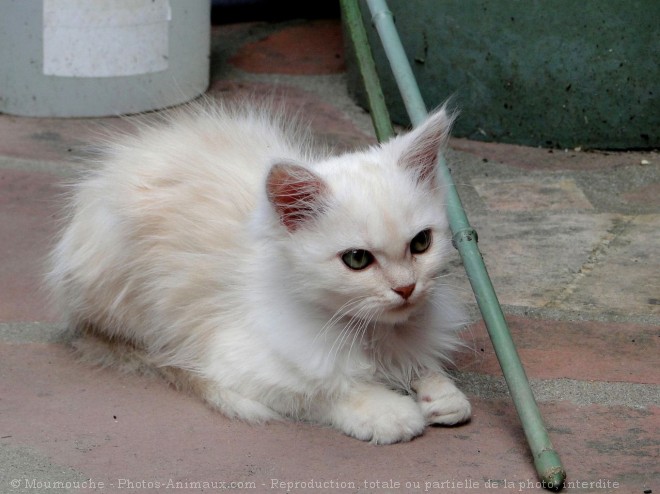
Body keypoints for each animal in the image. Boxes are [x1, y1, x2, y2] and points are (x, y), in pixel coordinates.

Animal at [47, 100, 470, 444]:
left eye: (421, 243)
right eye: (356, 260)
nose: (406, 288)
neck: (374, 333)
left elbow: (424, 365)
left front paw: (442, 393)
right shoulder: (238, 361)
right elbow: (325, 391)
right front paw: (389, 412)